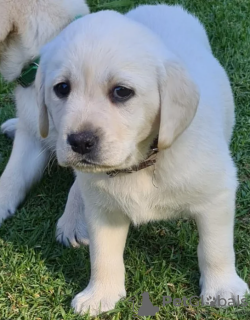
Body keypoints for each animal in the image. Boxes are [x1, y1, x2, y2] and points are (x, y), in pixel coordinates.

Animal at [36, 3, 249, 316]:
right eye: (62, 88)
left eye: (122, 92)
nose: (80, 141)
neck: (142, 163)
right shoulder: (103, 210)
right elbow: (103, 255)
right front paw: (100, 294)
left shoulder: (217, 195)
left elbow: (216, 247)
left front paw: (223, 288)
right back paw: (73, 217)